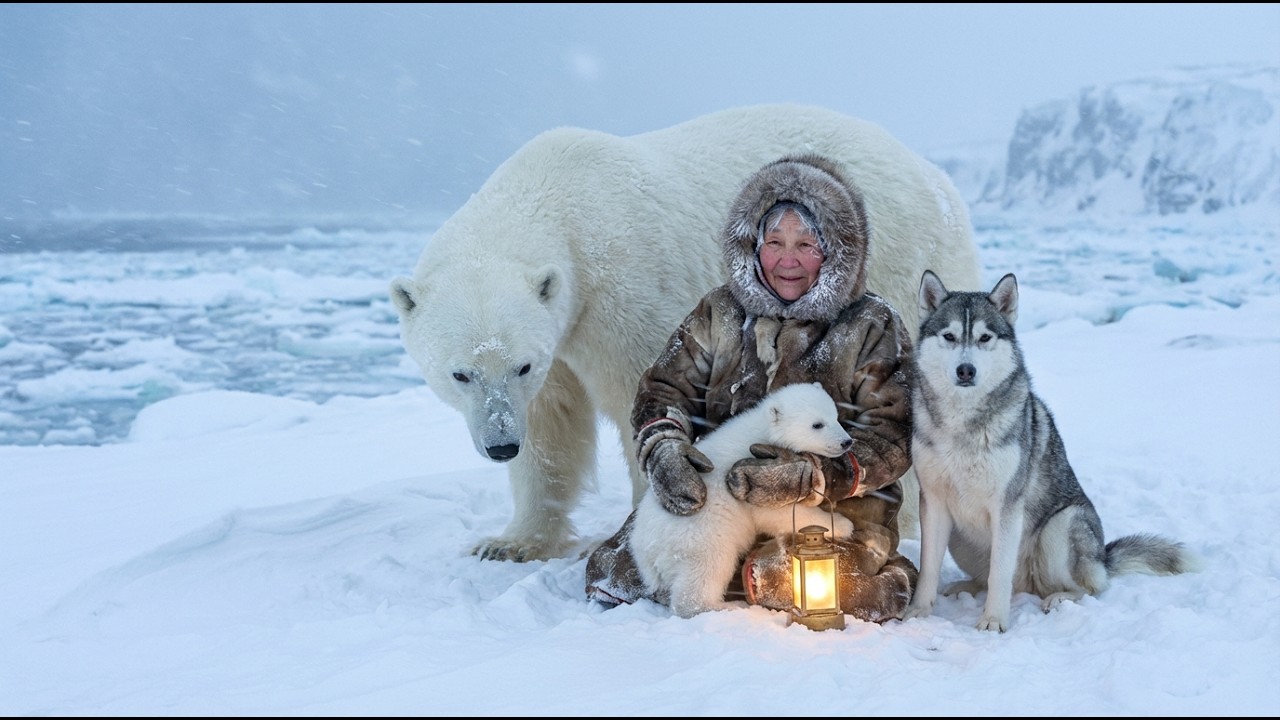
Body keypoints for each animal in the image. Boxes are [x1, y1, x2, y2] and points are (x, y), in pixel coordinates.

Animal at [390, 103, 982, 562]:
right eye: (460, 373)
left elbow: (647, 395)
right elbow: (550, 423)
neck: (557, 200)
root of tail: (937, 177)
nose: (499, 446)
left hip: (904, 256)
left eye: (519, 364)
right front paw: (509, 543)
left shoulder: (624, 292)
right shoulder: (559, 337)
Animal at [629, 382, 856, 619]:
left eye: (835, 416)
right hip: (699, 537)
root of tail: (645, 553)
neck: (763, 432)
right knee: (706, 570)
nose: (846, 442)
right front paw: (842, 524)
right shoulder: (749, 484)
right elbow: (777, 514)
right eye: (817, 424)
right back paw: (722, 608)